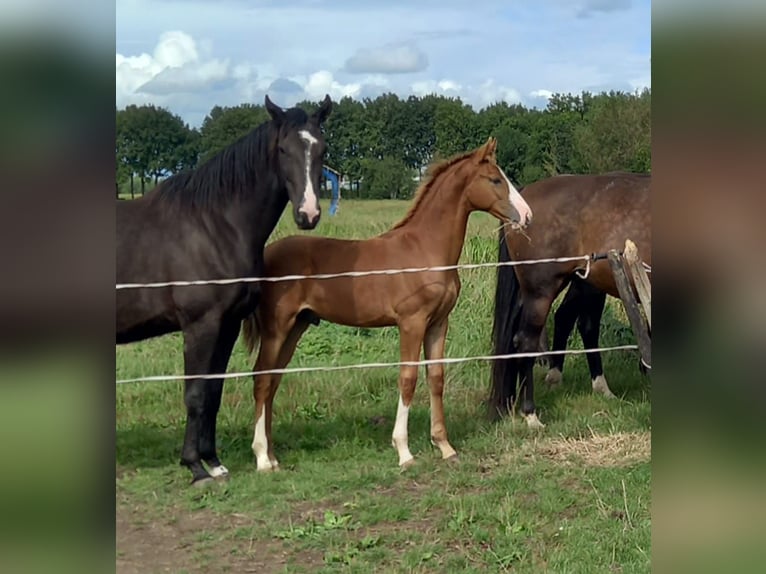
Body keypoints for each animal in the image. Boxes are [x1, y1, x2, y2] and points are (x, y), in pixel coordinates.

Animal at [117, 93, 332, 486]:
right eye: (283, 149)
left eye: (321, 149)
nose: (308, 214)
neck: (213, 225)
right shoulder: (200, 325)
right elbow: (195, 393)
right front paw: (195, 467)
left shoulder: (227, 324)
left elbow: (213, 391)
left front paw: (214, 461)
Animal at [244, 140, 536, 472]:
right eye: (495, 180)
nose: (526, 215)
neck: (425, 249)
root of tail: (266, 256)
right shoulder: (411, 323)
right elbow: (407, 379)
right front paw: (404, 452)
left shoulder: (438, 323)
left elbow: (436, 378)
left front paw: (445, 446)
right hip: (276, 328)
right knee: (261, 379)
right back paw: (262, 458)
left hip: (297, 326)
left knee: (273, 380)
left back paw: (273, 456)